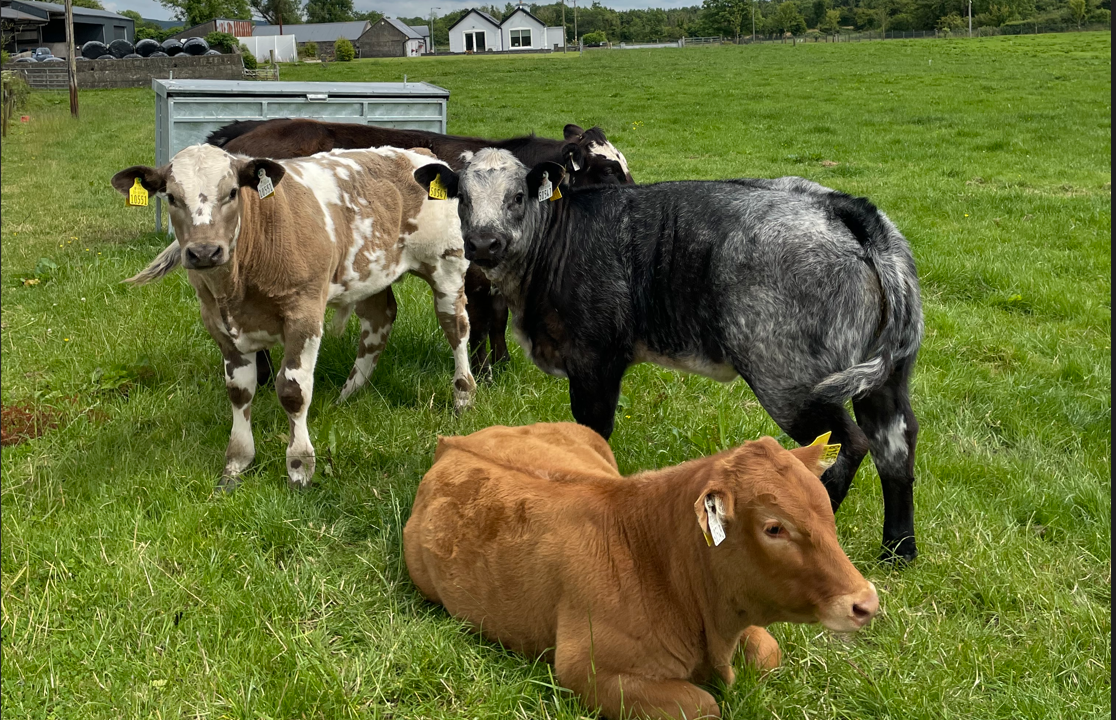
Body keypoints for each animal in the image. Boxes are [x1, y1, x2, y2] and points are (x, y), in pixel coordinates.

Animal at [112, 143, 474, 490]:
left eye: (231, 192)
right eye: (172, 197)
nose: (204, 252)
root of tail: (415, 153)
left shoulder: (304, 314)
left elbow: (292, 390)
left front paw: (300, 466)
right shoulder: (218, 324)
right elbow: (239, 392)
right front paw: (237, 463)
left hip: (446, 265)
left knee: (455, 328)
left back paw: (463, 396)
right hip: (370, 273)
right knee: (378, 323)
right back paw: (348, 395)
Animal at [204, 118, 634, 381]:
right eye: (607, 170)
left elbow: (496, 319)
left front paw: (502, 365)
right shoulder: (471, 268)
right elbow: (479, 321)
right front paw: (483, 371)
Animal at [404, 422, 879, 720]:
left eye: (826, 507)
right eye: (774, 527)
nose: (866, 603)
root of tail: (453, 441)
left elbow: (767, 655)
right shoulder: (588, 670)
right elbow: (704, 705)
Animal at [412, 150, 924, 562]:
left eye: (517, 196)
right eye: (461, 199)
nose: (484, 243)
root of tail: (841, 206)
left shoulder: (595, 359)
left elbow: (591, 432)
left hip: (790, 381)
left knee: (849, 443)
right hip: (883, 378)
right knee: (894, 444)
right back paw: (897, 550)